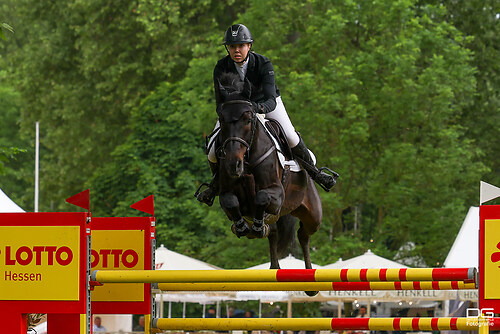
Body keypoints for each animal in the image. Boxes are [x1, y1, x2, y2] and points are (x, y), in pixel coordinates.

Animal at [213, 73, 322, 288]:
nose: (233, 165)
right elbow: (230, 201)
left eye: (248, 119)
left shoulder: (277, 194)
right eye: (222, 119)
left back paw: (309, 282)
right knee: (274, 233)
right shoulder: (226, 194)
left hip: (313, 213)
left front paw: (255, 226)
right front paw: (242, 227)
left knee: (303, 235)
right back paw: (274, 266)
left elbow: (262, 197)